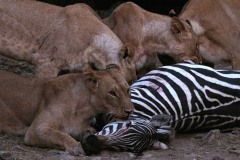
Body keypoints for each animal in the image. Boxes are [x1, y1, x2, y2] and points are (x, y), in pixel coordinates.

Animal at [0, 64, 134, 155]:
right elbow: (59, 135)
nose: (130, 111)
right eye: (112, 93)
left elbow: (89, 130)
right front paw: (76, 147)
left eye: (127, 90)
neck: (85, 110)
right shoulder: (36, 129)